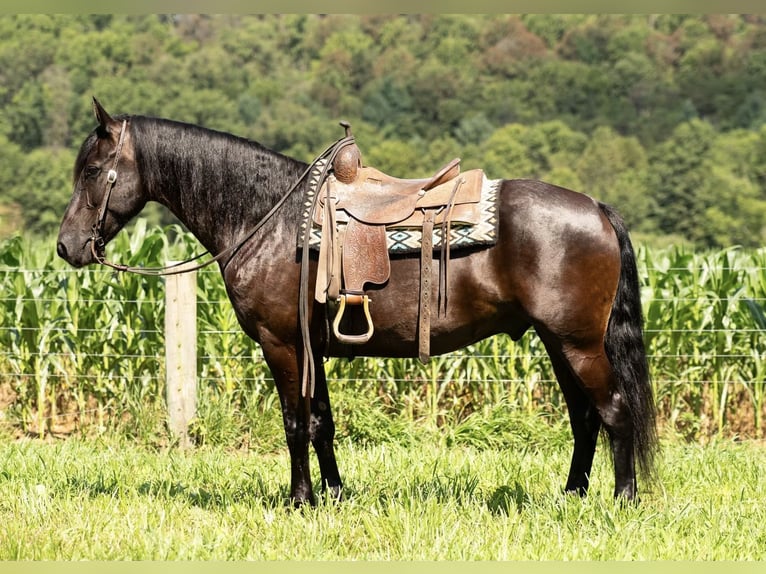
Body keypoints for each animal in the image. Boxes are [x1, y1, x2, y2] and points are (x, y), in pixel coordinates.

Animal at [57, 99, 657, 506]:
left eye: (93, 171)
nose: (66, 246)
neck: (268, 218)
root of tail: (597, 209)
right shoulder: (311, 348)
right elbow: (322, 422)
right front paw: (335, 494)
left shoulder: (283, 345)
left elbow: (295, 424)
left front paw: (300, 500)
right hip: (559, 343)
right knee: (585, 418)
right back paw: (572, 494)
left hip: (578, 343)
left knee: (613, 410)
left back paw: (621, 500)